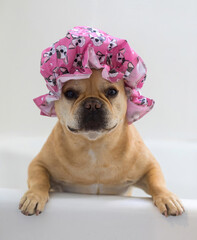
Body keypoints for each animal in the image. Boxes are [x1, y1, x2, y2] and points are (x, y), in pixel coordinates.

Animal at [18, 69, 185, 216]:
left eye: (112, 92)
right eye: (70, 93)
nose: (92, 104)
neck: (95, 145)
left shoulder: (150, 167)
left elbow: (157, 182)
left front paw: (167, 198)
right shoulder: (38, 164)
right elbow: (39, 179)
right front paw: (33, 196)